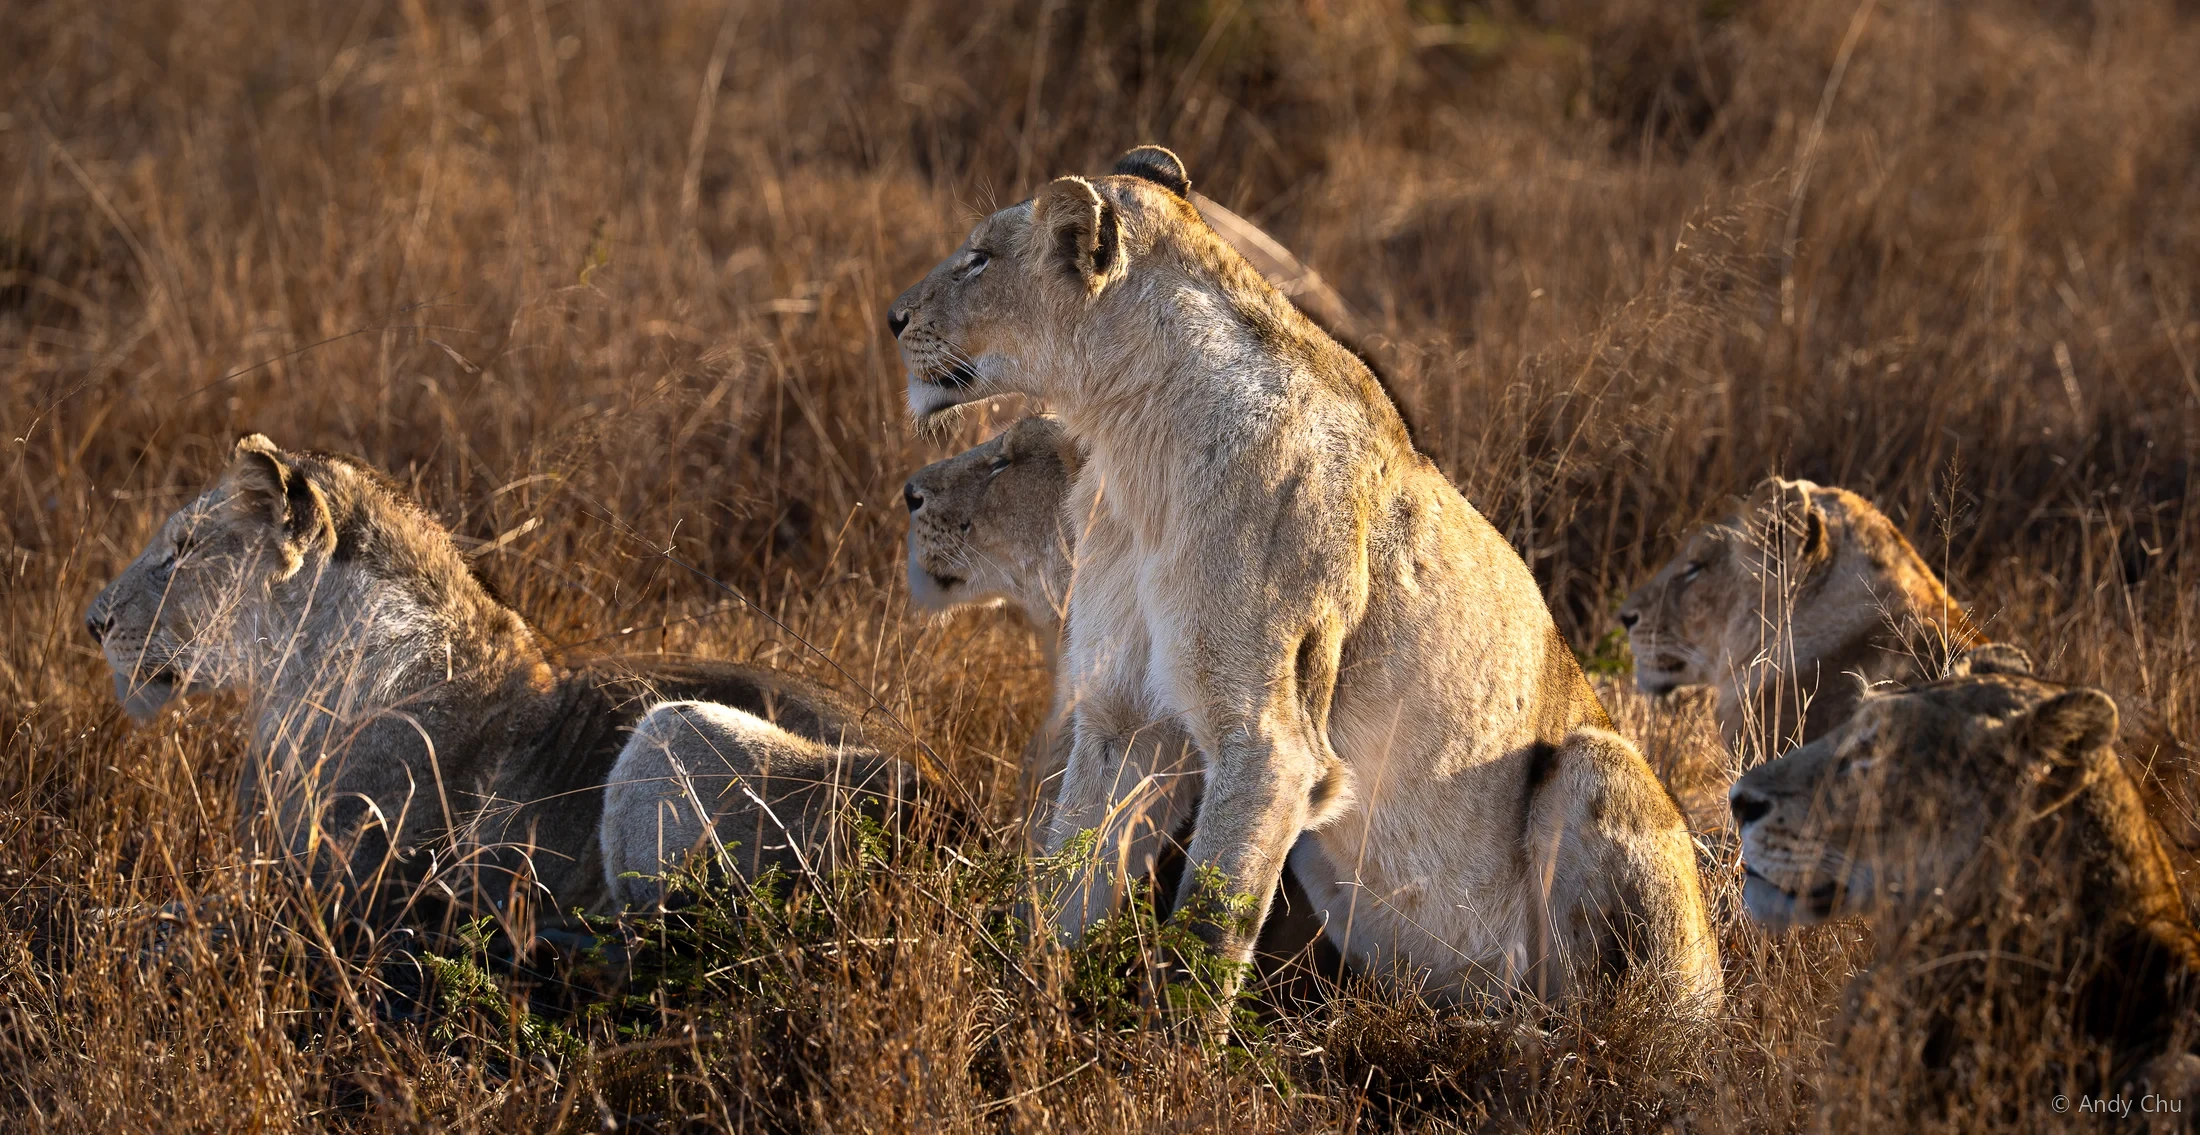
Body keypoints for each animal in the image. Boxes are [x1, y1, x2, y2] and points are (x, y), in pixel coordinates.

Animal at [886, 146, 1720, 1009]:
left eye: (979, 257)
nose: (893, 318)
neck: (1136, 449)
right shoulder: (1122, 713)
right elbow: (1062, 882)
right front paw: (1024, 1009)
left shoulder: (1270, 743)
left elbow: (1202, 935)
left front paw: (1163, 1044)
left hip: (1598, 763)